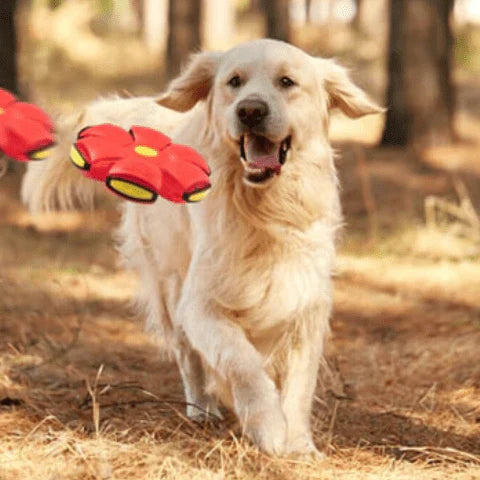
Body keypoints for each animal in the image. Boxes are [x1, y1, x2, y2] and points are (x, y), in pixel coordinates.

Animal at [22, 39, 382, 456]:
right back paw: (201, 408)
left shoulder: (305, 303)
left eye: (287, 82)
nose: (250, 110)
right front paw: (268, 426)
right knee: (187, 355)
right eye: (234, 82)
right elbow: (242, 361)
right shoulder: (200, 304)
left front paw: (299, 443)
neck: (264, 210)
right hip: (169, 285)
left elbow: (299, 384)